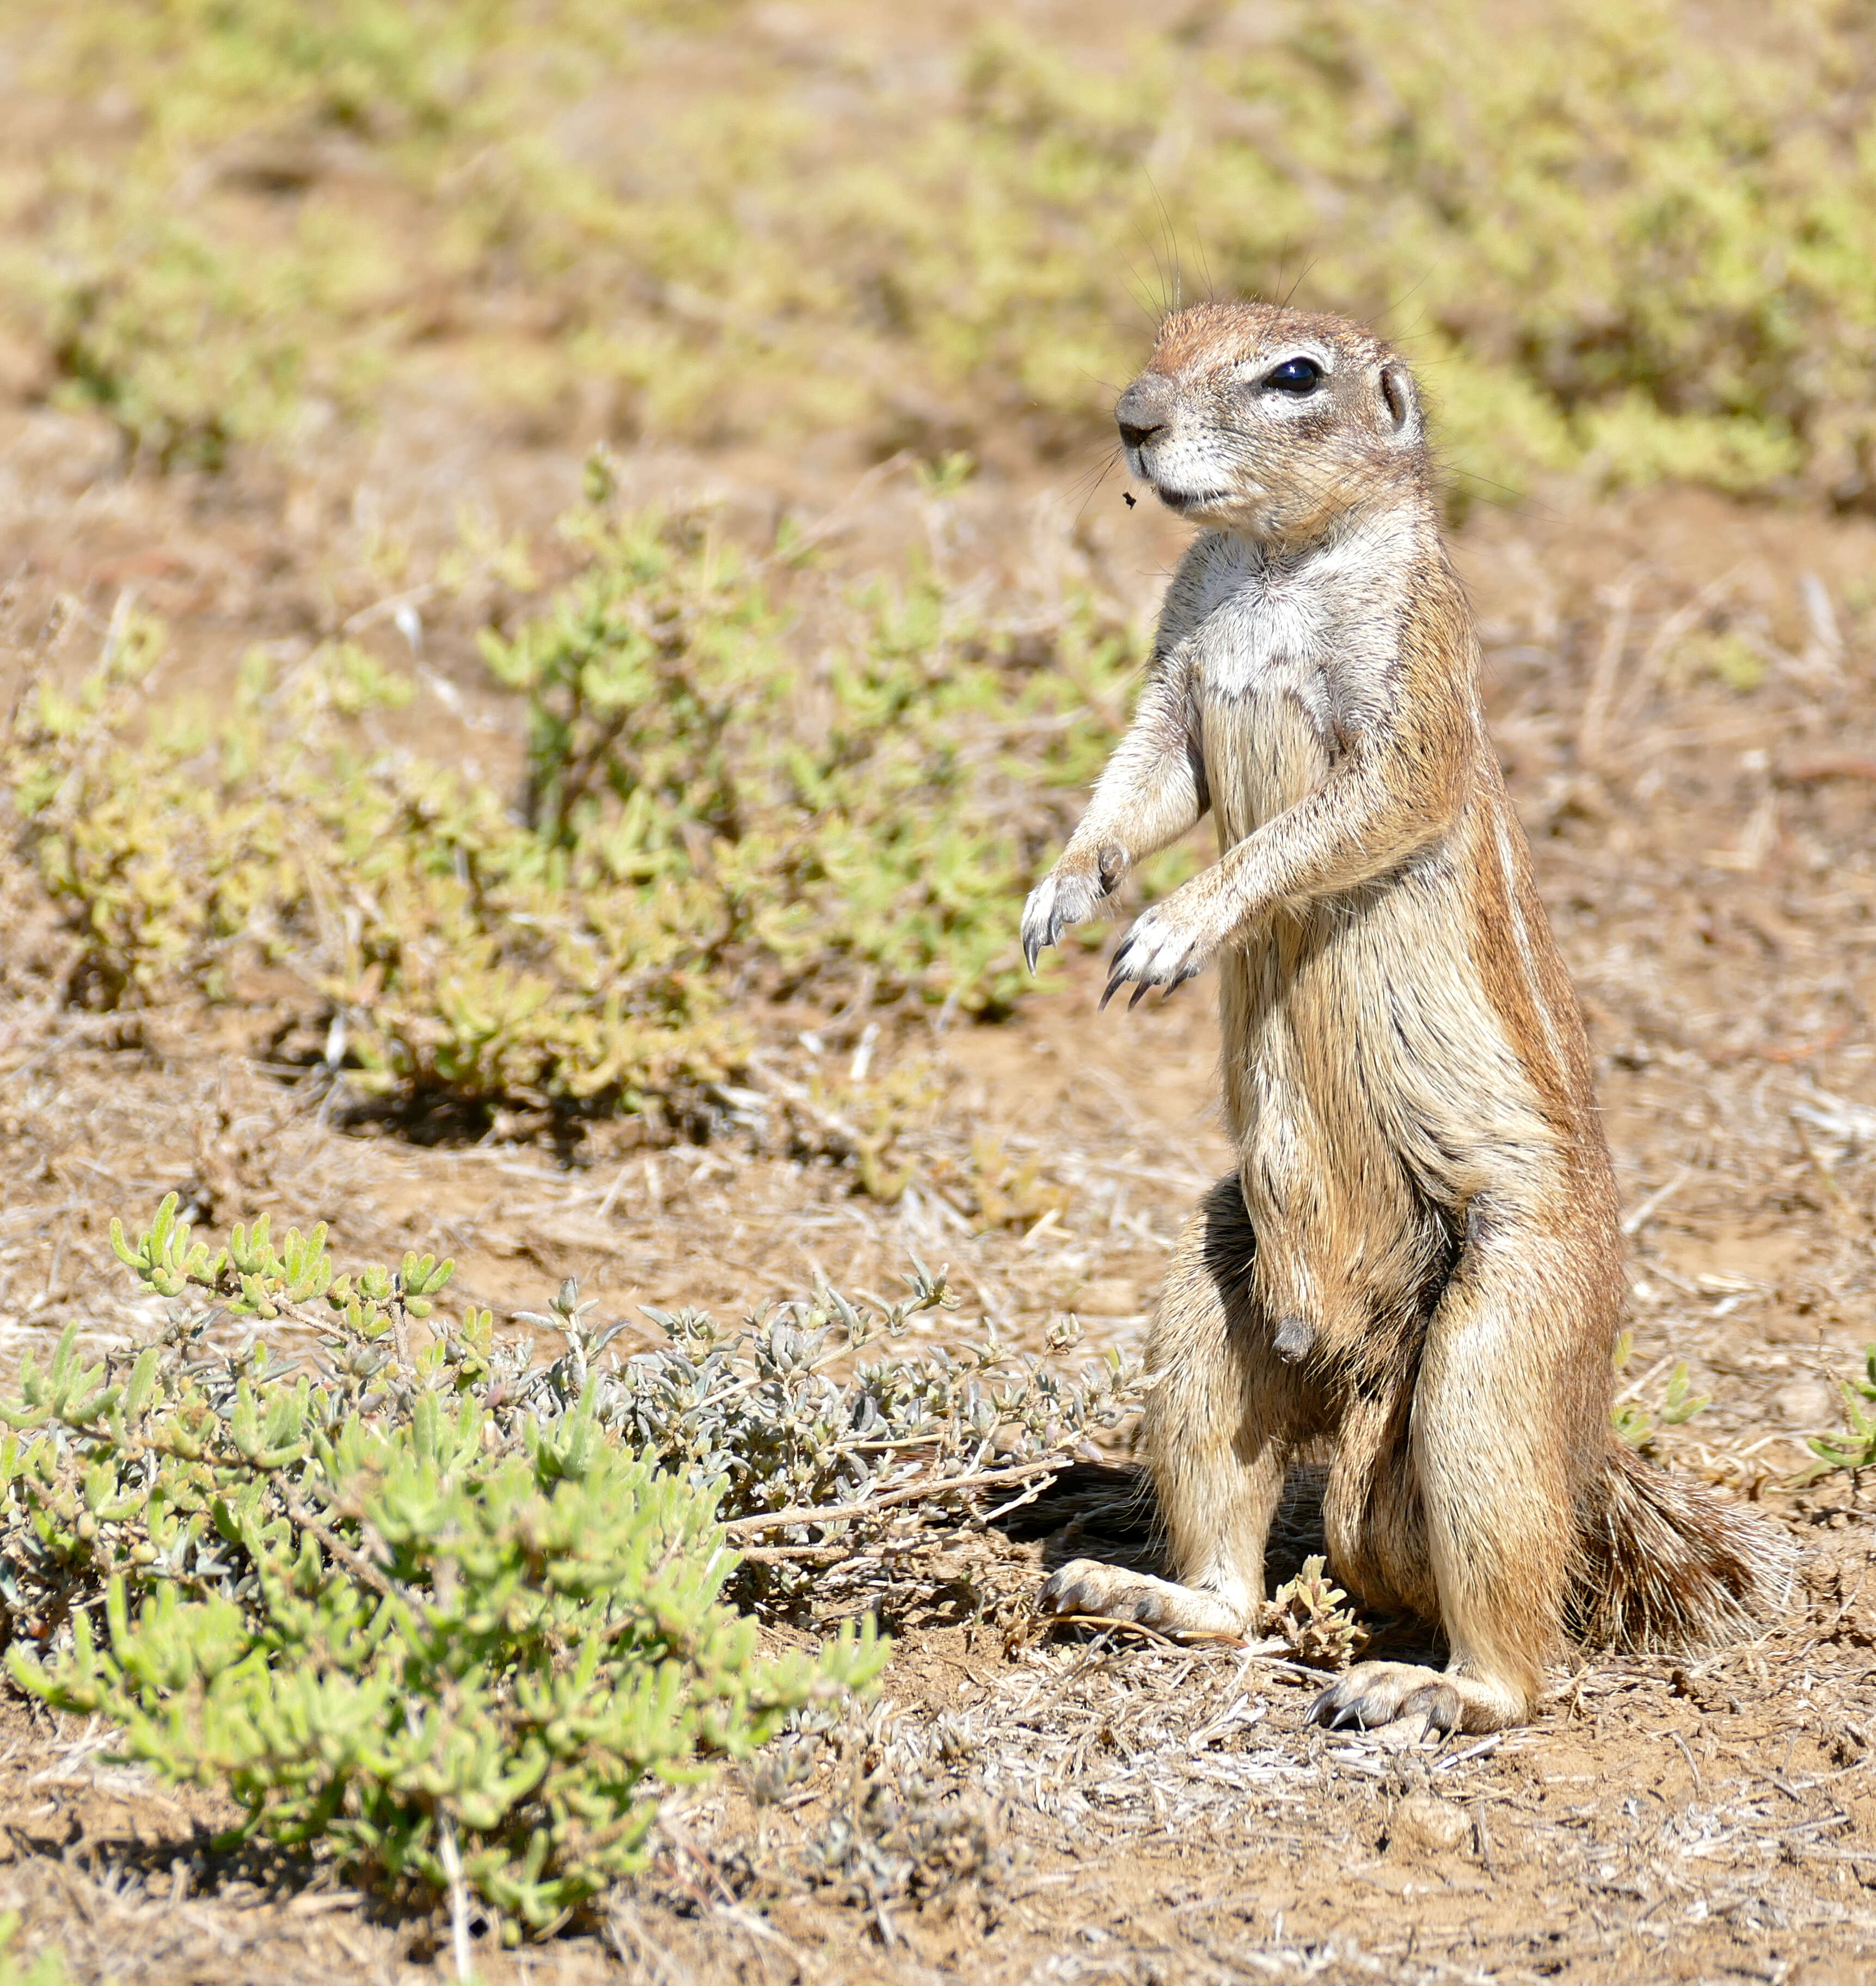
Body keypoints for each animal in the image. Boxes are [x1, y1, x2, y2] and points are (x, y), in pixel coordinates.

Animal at [1024, 302, 1786, 1732]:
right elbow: (1144, 784)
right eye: (1166, 331)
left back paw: (1426, 1691)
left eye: (1294, 376)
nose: (1131, 419)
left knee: (1520, 1640)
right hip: (1212, 1285)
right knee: (1237, 1563)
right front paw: (1064, 888)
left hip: (1499, 1344)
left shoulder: (1410, 687)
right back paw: (1140, 1593)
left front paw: (1178, 925)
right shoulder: (1176, 675)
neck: (1274, 564)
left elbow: (1340, 816)